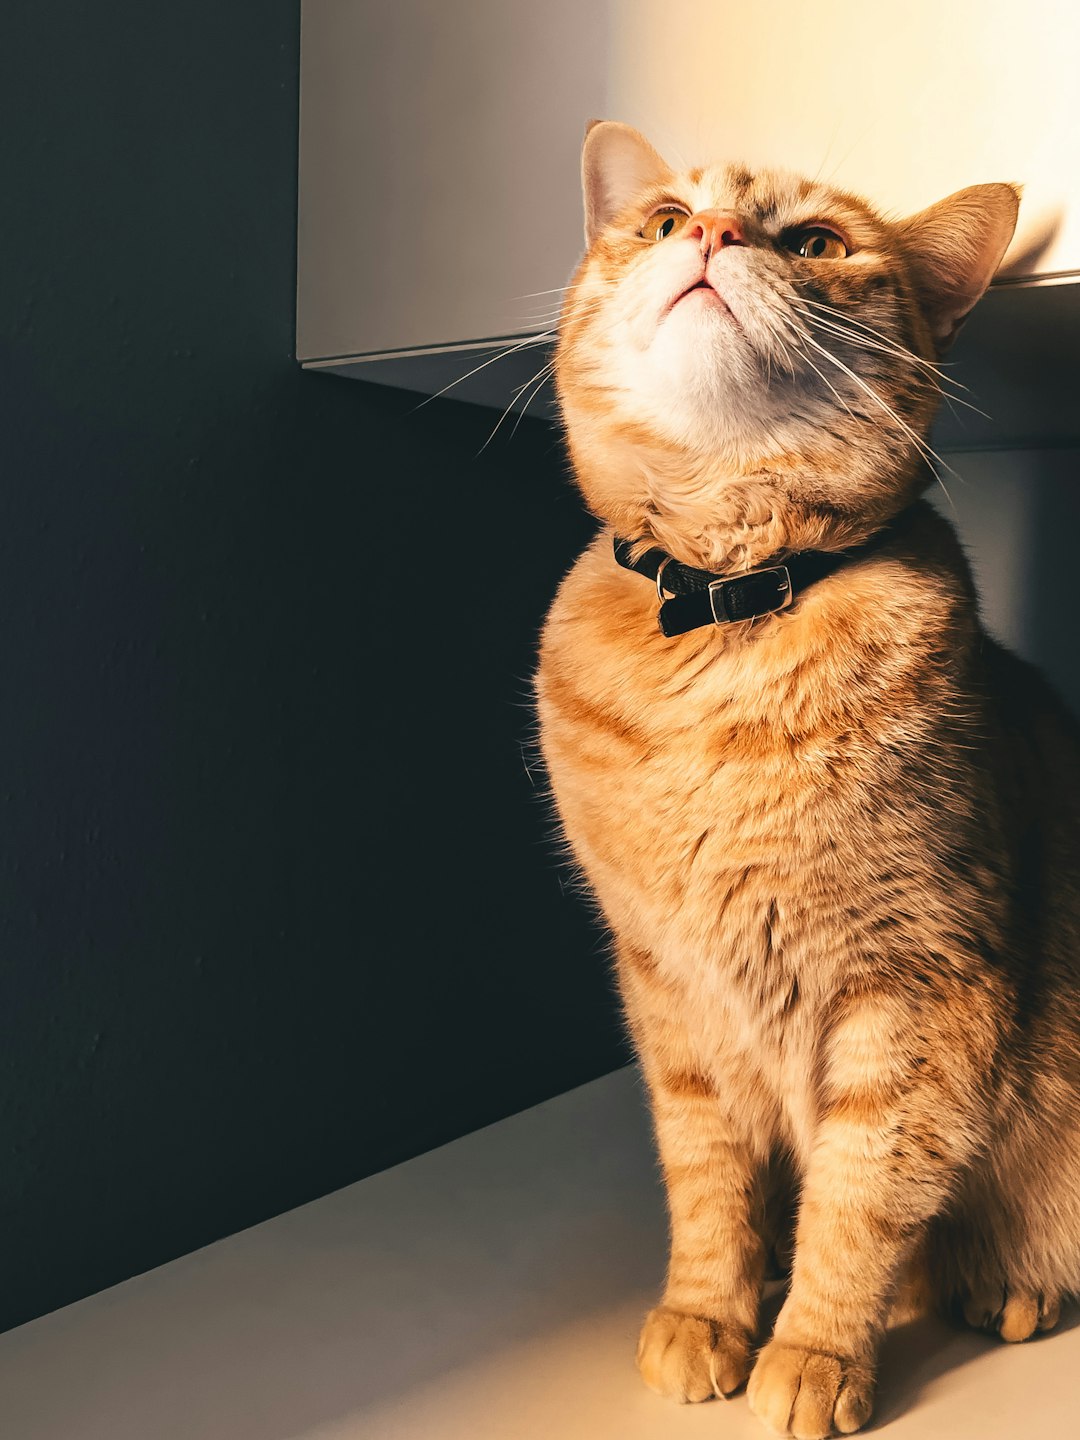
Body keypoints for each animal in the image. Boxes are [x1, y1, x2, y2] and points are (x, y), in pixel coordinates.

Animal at [538, 123, 1080, 1440]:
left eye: (819, 243)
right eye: (665, 217)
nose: (713, 234)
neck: (728, 610)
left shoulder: (919, 988)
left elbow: (861, 1194)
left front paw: (815, 1354)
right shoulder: (668, 986)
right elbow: (706, 1176)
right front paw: (709, 1314)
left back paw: (1010, 1284)